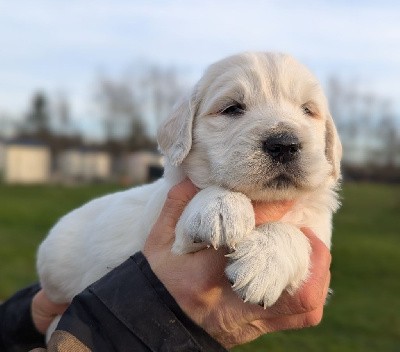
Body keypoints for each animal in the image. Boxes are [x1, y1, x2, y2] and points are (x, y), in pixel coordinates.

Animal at [36, 51, 340, 332]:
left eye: (308, 110)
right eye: (232, 108)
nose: (285, 144)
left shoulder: (317, 230)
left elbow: (298, 233)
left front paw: (264, 261)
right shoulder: (172, 245)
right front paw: (219, 206)